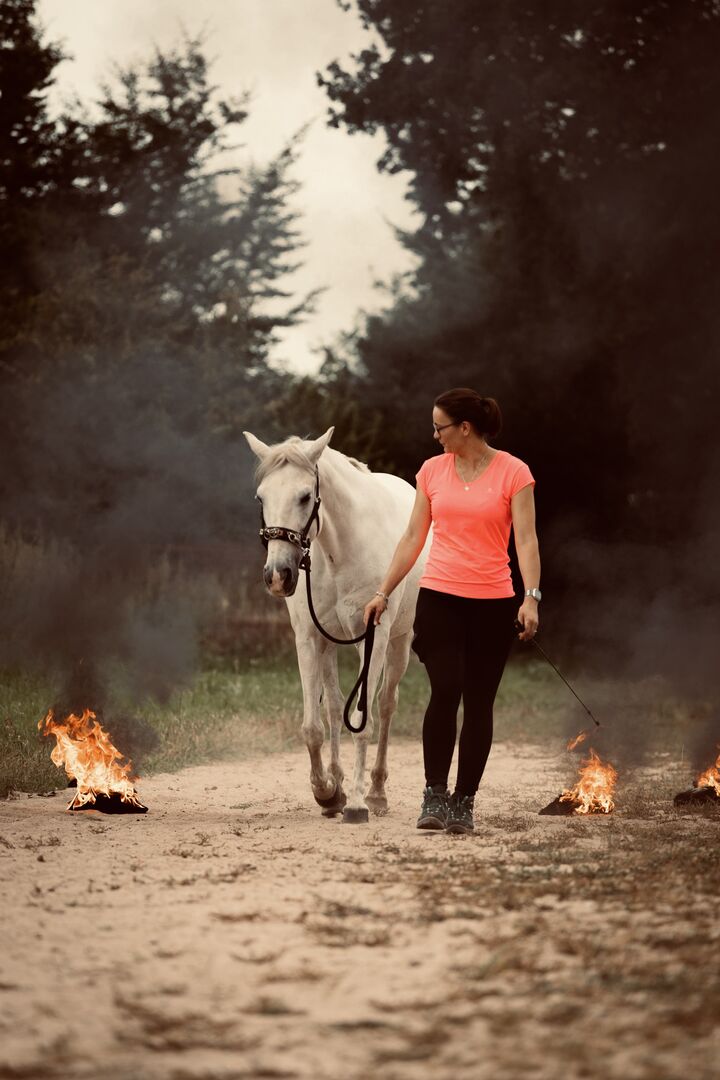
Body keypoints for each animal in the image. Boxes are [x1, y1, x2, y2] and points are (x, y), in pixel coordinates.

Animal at [243, 427, 428, 823]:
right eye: (261, 496)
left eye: (304, 496)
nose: (277, 576)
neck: (339, 550)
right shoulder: (310, 639)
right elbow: (314, 726)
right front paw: (327, 793)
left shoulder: (374, 639)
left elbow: (363, 721)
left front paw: (356, 803)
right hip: (331, 645)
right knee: (333, 708)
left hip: (398, 643)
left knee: (385, 705)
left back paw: (376, 793)